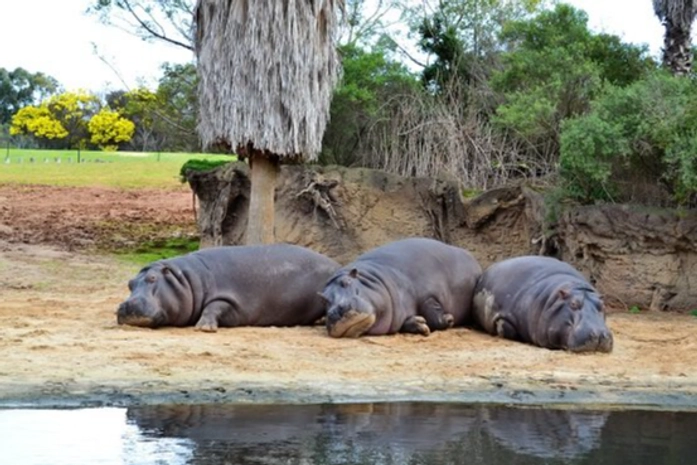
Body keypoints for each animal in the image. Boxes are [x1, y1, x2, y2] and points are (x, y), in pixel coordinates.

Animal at [117, 243, 340, 330]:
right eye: (130, 283)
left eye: (153, 278)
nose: (126, 305)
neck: (184, 280)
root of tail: (336, 264)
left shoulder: (229, 298)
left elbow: (213, 307)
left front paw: (204, 328)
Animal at [320, 237, 478, 336]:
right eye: (323, 298)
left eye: (346, 282)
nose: (334, 312)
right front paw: (419, 324)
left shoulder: (428, 295)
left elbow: (434, 313)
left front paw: (449, 319)